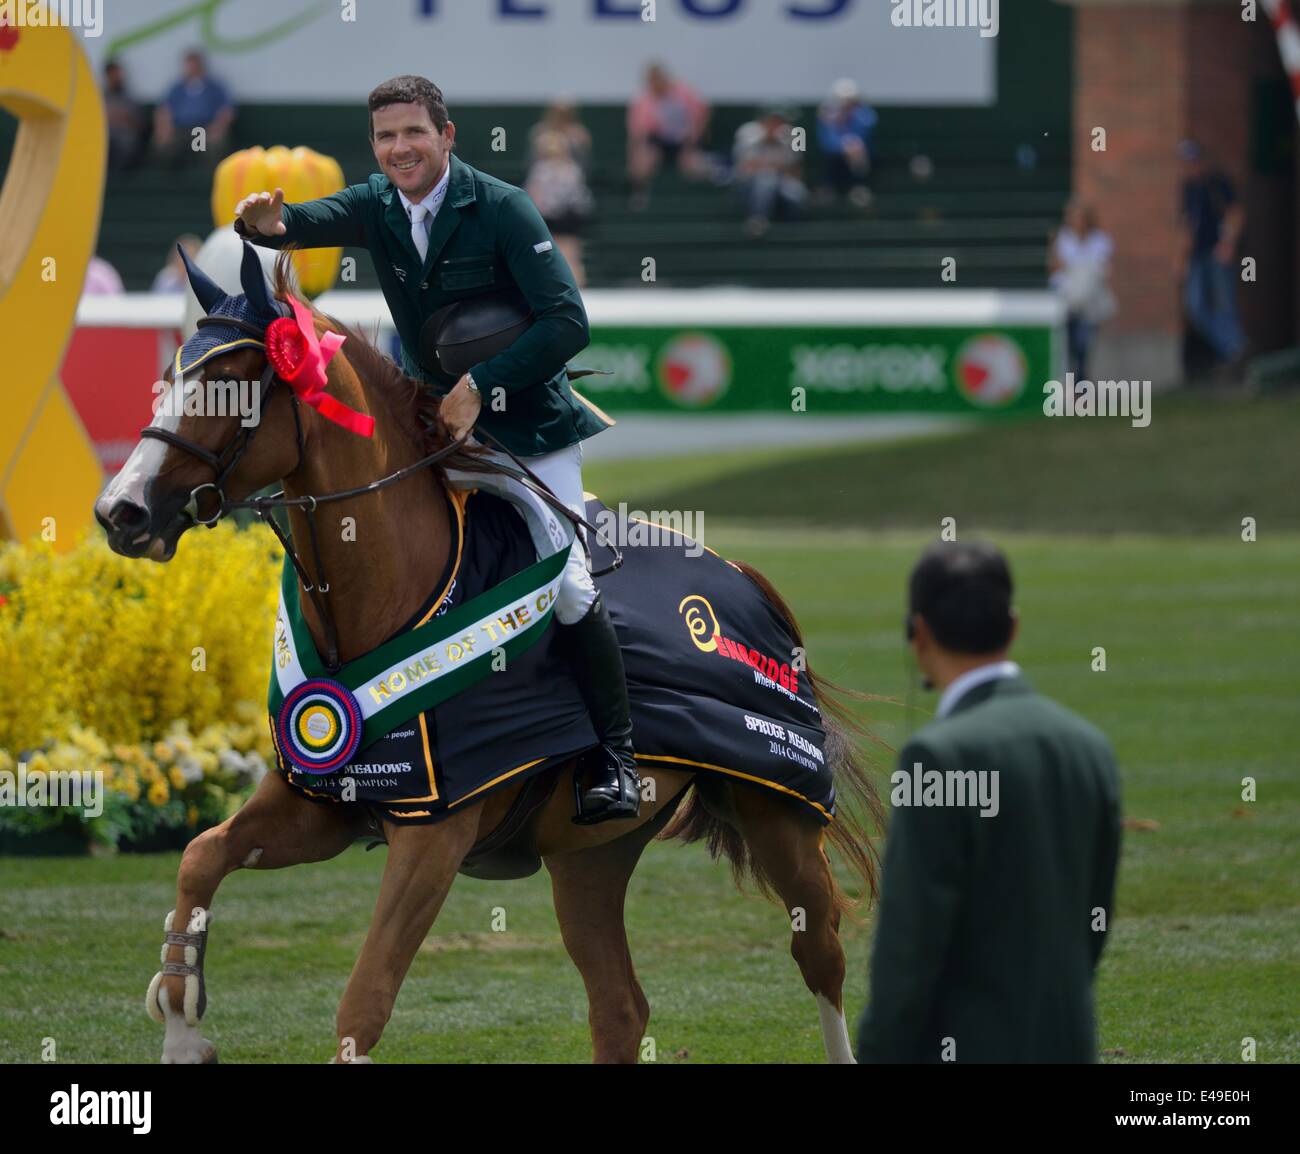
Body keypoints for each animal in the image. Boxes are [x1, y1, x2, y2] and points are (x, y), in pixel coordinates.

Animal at [94, 252, 883, 1065]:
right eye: (170, 377)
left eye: (236, 384)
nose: (121, 512)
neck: (391, 600)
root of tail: (747, 580)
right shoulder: (323, 803)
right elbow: (201, 856)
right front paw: (182, 1022)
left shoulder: (436, 835)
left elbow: (365, 1000)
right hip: (590, 855)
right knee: (621, 1007)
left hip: (778, 812)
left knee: (820, 953)